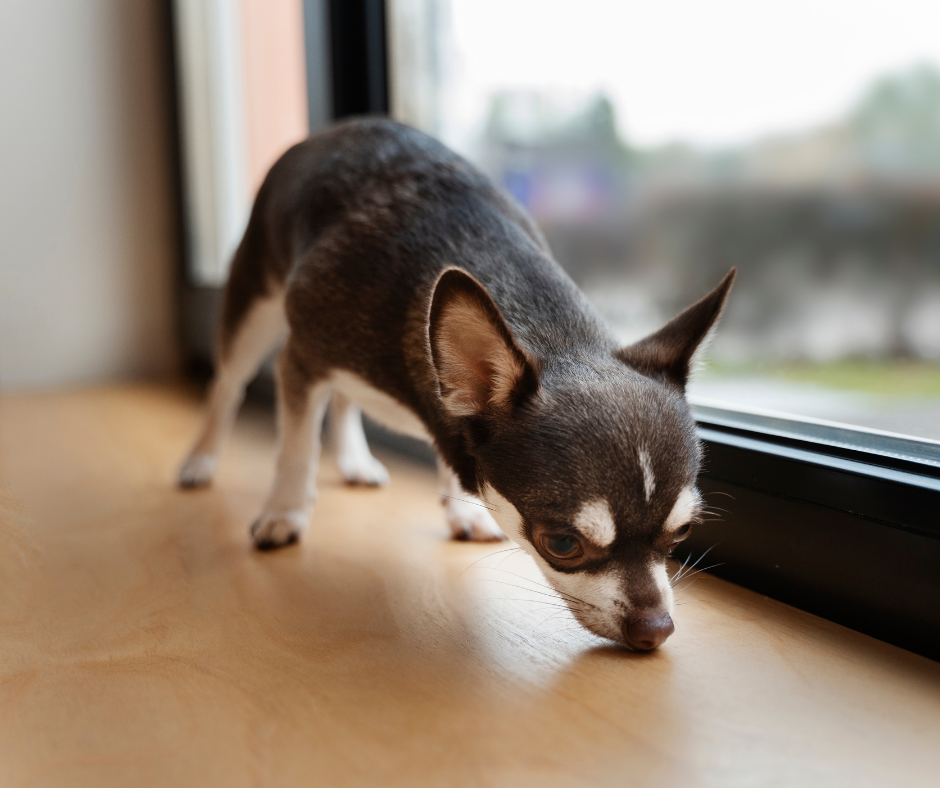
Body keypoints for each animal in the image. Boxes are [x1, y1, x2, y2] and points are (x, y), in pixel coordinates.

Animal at [178, 115, 736, 648]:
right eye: (562, 544)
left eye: (683, 532)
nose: (656, 629)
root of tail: (332, 129)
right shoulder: (302, 358)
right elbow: (296, 447)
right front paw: (286, 511)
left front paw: (462, 509)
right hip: (254, 305)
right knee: (227, 384)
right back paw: (200, 461)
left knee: (340, 398)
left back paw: (355, 460)